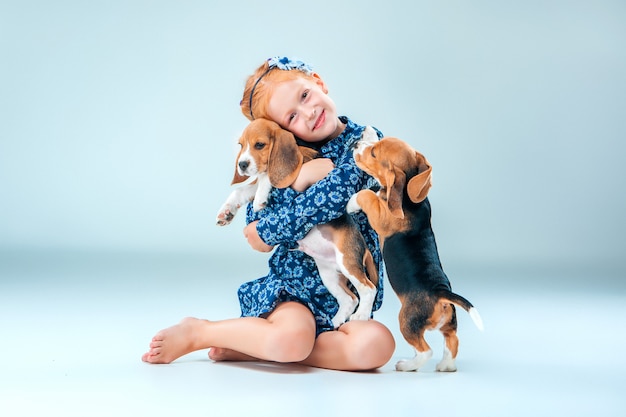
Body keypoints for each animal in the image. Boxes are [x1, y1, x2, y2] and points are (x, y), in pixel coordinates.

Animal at [346, 126, 482, 370]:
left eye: (373, 154)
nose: (355, 144)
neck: (408, 200)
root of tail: (441, 292)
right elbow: (374, 192)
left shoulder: (382, 218)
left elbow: (367, 195)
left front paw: (352, 202)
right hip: (449, 323)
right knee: (453, 340)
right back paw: (446, 366)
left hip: (406, 321)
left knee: (426, 350)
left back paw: (407, 365)